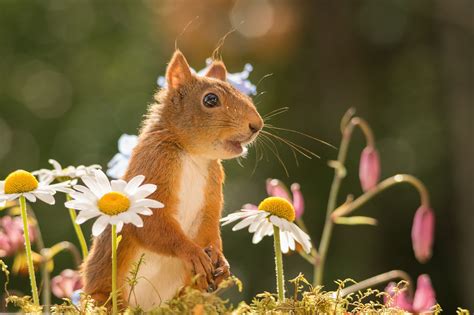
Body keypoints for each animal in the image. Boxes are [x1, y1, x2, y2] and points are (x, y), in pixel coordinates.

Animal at [83, 50, 264, 310]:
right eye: (210, 100)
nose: (257, 126)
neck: (193, 155)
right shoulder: (152, 168)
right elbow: (153, 225)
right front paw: (193, 253)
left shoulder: (212, 190)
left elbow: (210, 226)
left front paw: (221, 259)